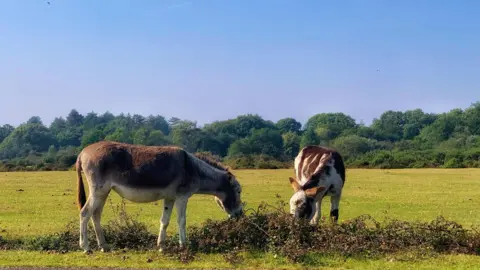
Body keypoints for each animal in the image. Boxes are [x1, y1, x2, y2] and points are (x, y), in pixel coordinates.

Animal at [75, 141, 244, 253]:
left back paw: (103, 246)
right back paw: (86, 247)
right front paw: (184, 245)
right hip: (98, 190)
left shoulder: (170, 198)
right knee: (85, 213)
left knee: (95, 214)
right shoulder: (182, 197)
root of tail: (83, 152)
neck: (193, 168)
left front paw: (161, 246)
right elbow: (181, 221)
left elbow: (165, 221)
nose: (240, 215)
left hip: (103, 192)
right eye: (238, 191)